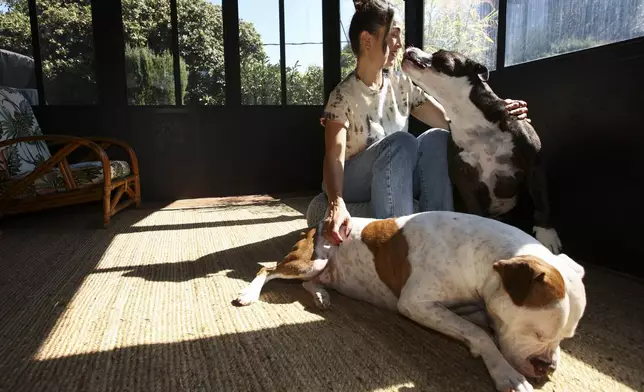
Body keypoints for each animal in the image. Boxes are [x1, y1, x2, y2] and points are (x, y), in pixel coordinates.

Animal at [236, 211, 588, 392]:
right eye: (537, 332)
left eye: (566, 338)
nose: (547, 368)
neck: (479, 256)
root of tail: (317, 224)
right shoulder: (417, 304)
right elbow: (479, 334)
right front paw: (506, 374)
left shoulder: (472, 306)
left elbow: (481, 326)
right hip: (310, 260)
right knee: (268, 270)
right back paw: (249, 293)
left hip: (320, 269)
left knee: (310, 283)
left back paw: (322, 295)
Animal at [400, 46, 560, 254]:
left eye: (440, 54)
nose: (409, 48)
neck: (467, 115)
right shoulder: (463, 177)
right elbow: (475, 208)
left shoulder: (534, 163)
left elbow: (541, 201)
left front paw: (546, 234)